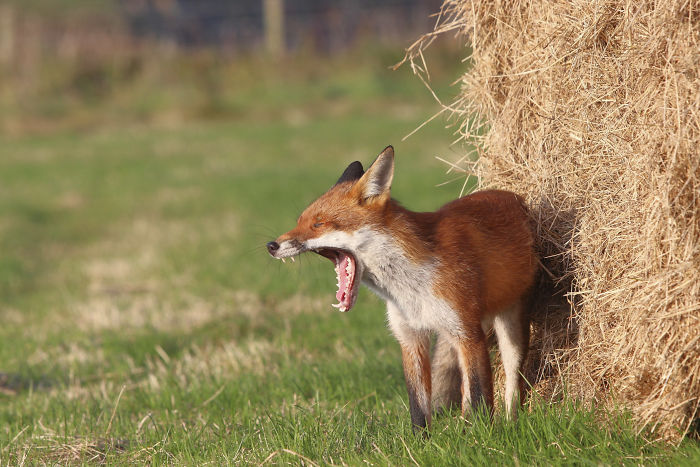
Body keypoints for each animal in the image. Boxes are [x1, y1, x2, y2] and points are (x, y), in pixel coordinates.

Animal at [266, 146, 538, 431]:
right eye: (299, 221)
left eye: (318, 224)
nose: (271, 245)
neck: (410, 288)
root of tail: (509, 194)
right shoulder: (410, 337)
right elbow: (418, 406)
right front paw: (424, 440)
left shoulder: (467, 333)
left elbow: (479, 397)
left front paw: (481, 435)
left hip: (509, 330)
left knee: (512, 383)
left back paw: (511, 423)